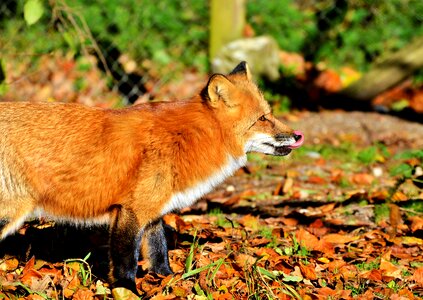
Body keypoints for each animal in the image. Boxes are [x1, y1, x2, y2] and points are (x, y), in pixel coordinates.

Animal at [0, 61, 304, 296]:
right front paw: (126, 290)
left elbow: (159, 253)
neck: (189, 138)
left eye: (269, 114)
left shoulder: (153, 209)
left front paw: (168, 281)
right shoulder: (131, 211)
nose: (298, 135)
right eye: (263, 119)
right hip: (9, 213)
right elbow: (126, 260)